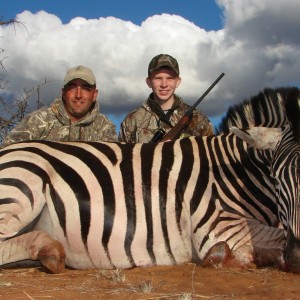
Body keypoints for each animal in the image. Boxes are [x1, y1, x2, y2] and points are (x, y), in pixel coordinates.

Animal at [0, 88, 298, 274]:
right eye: (276, 178)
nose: (297, 257)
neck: (231, 170)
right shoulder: (219, 224)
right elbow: (269, 242)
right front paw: (223, 257)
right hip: (24, 186)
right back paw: (49, 250)